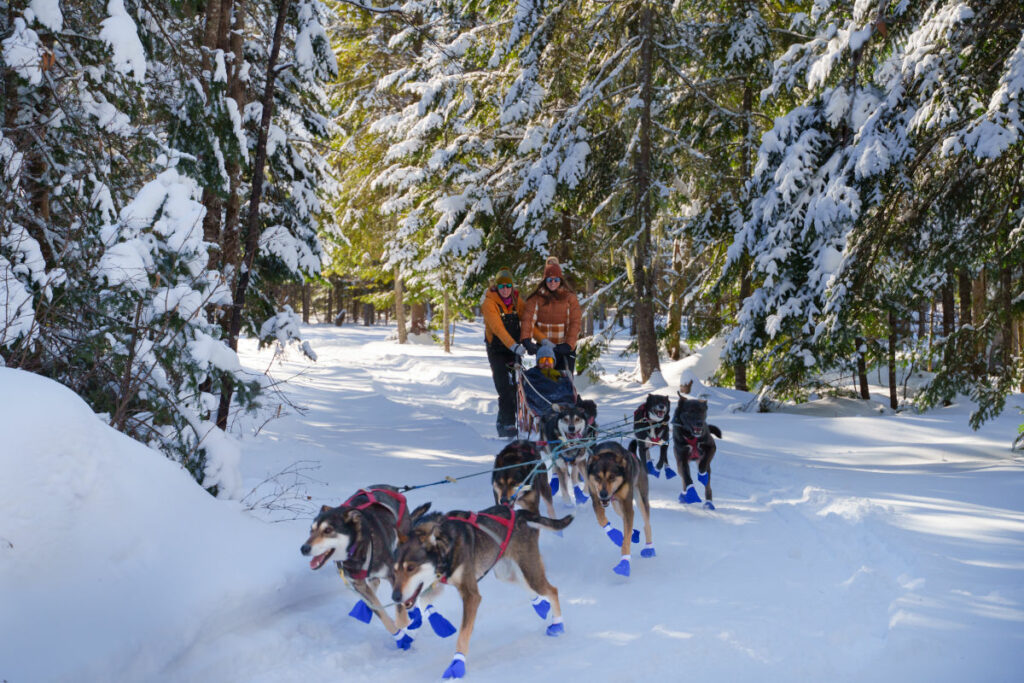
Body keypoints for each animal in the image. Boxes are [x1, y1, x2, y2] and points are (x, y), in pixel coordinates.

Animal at [301, 485, 434, 651]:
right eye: (311, 530)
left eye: (328, 530)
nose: (304, 548)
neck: (357, 549)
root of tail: (393, 488)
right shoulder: (358, 585)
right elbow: (380, 613)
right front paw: (399, 636)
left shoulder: (393, 575)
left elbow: (400, 609)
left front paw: (406, 629)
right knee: (374, 584)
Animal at [391, 501, 573, 679]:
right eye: (395, 570)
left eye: (411, 568)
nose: (395, 597)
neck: (444, 544)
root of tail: (518, 513)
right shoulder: (437, 583)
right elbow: (422, 601)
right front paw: (435, 623)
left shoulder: (470, 595)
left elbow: (463, 635)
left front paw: (457, 664)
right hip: (505, 573)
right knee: (526, 585)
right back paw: (540, 604)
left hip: (529, 571)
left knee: (552, 590)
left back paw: (558, 625)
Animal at [585, 440, 655, 573]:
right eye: (597, 477)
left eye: (612, 477)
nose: (603, 494)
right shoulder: (596, 499)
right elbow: (601, 519)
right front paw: (615, 535)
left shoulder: (627, 504)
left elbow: (626, 539)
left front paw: (624, 562)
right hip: (616, 505)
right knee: (624, 518)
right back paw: (633, 533)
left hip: (640, 499)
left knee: (647, 524)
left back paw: (649, 547)